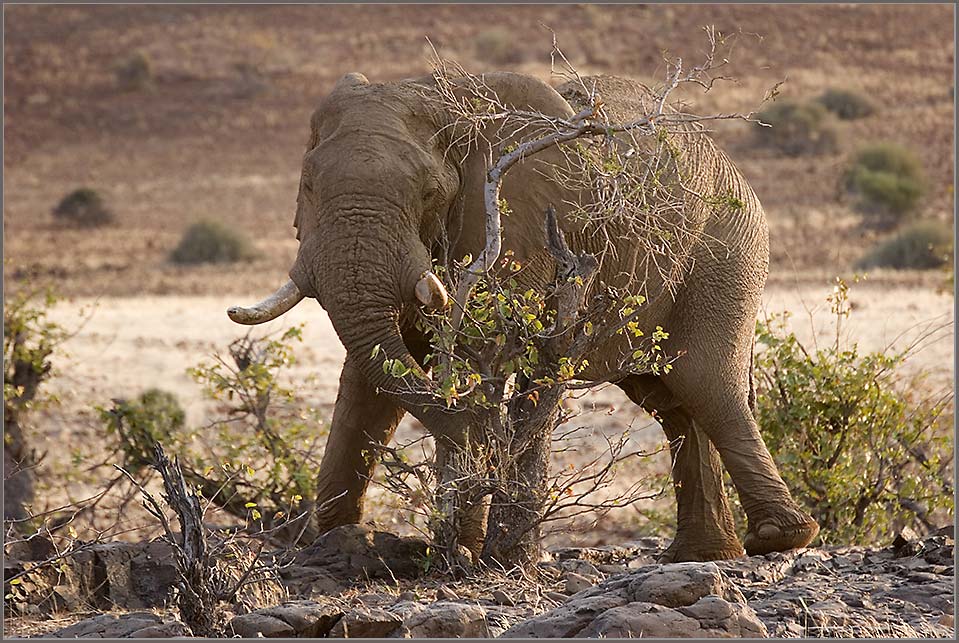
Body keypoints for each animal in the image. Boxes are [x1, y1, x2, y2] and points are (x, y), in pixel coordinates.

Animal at [229, 71, 820, 564]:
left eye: (429, 192)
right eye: (308, 187)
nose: (481, 445)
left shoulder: (520, 224)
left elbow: (478, 356)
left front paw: (466, 547)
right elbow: (372, 374)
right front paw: (331, 542)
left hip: (725, 253)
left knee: (706, 383)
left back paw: (777, 539)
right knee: (672, 404)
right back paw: (701, 555)